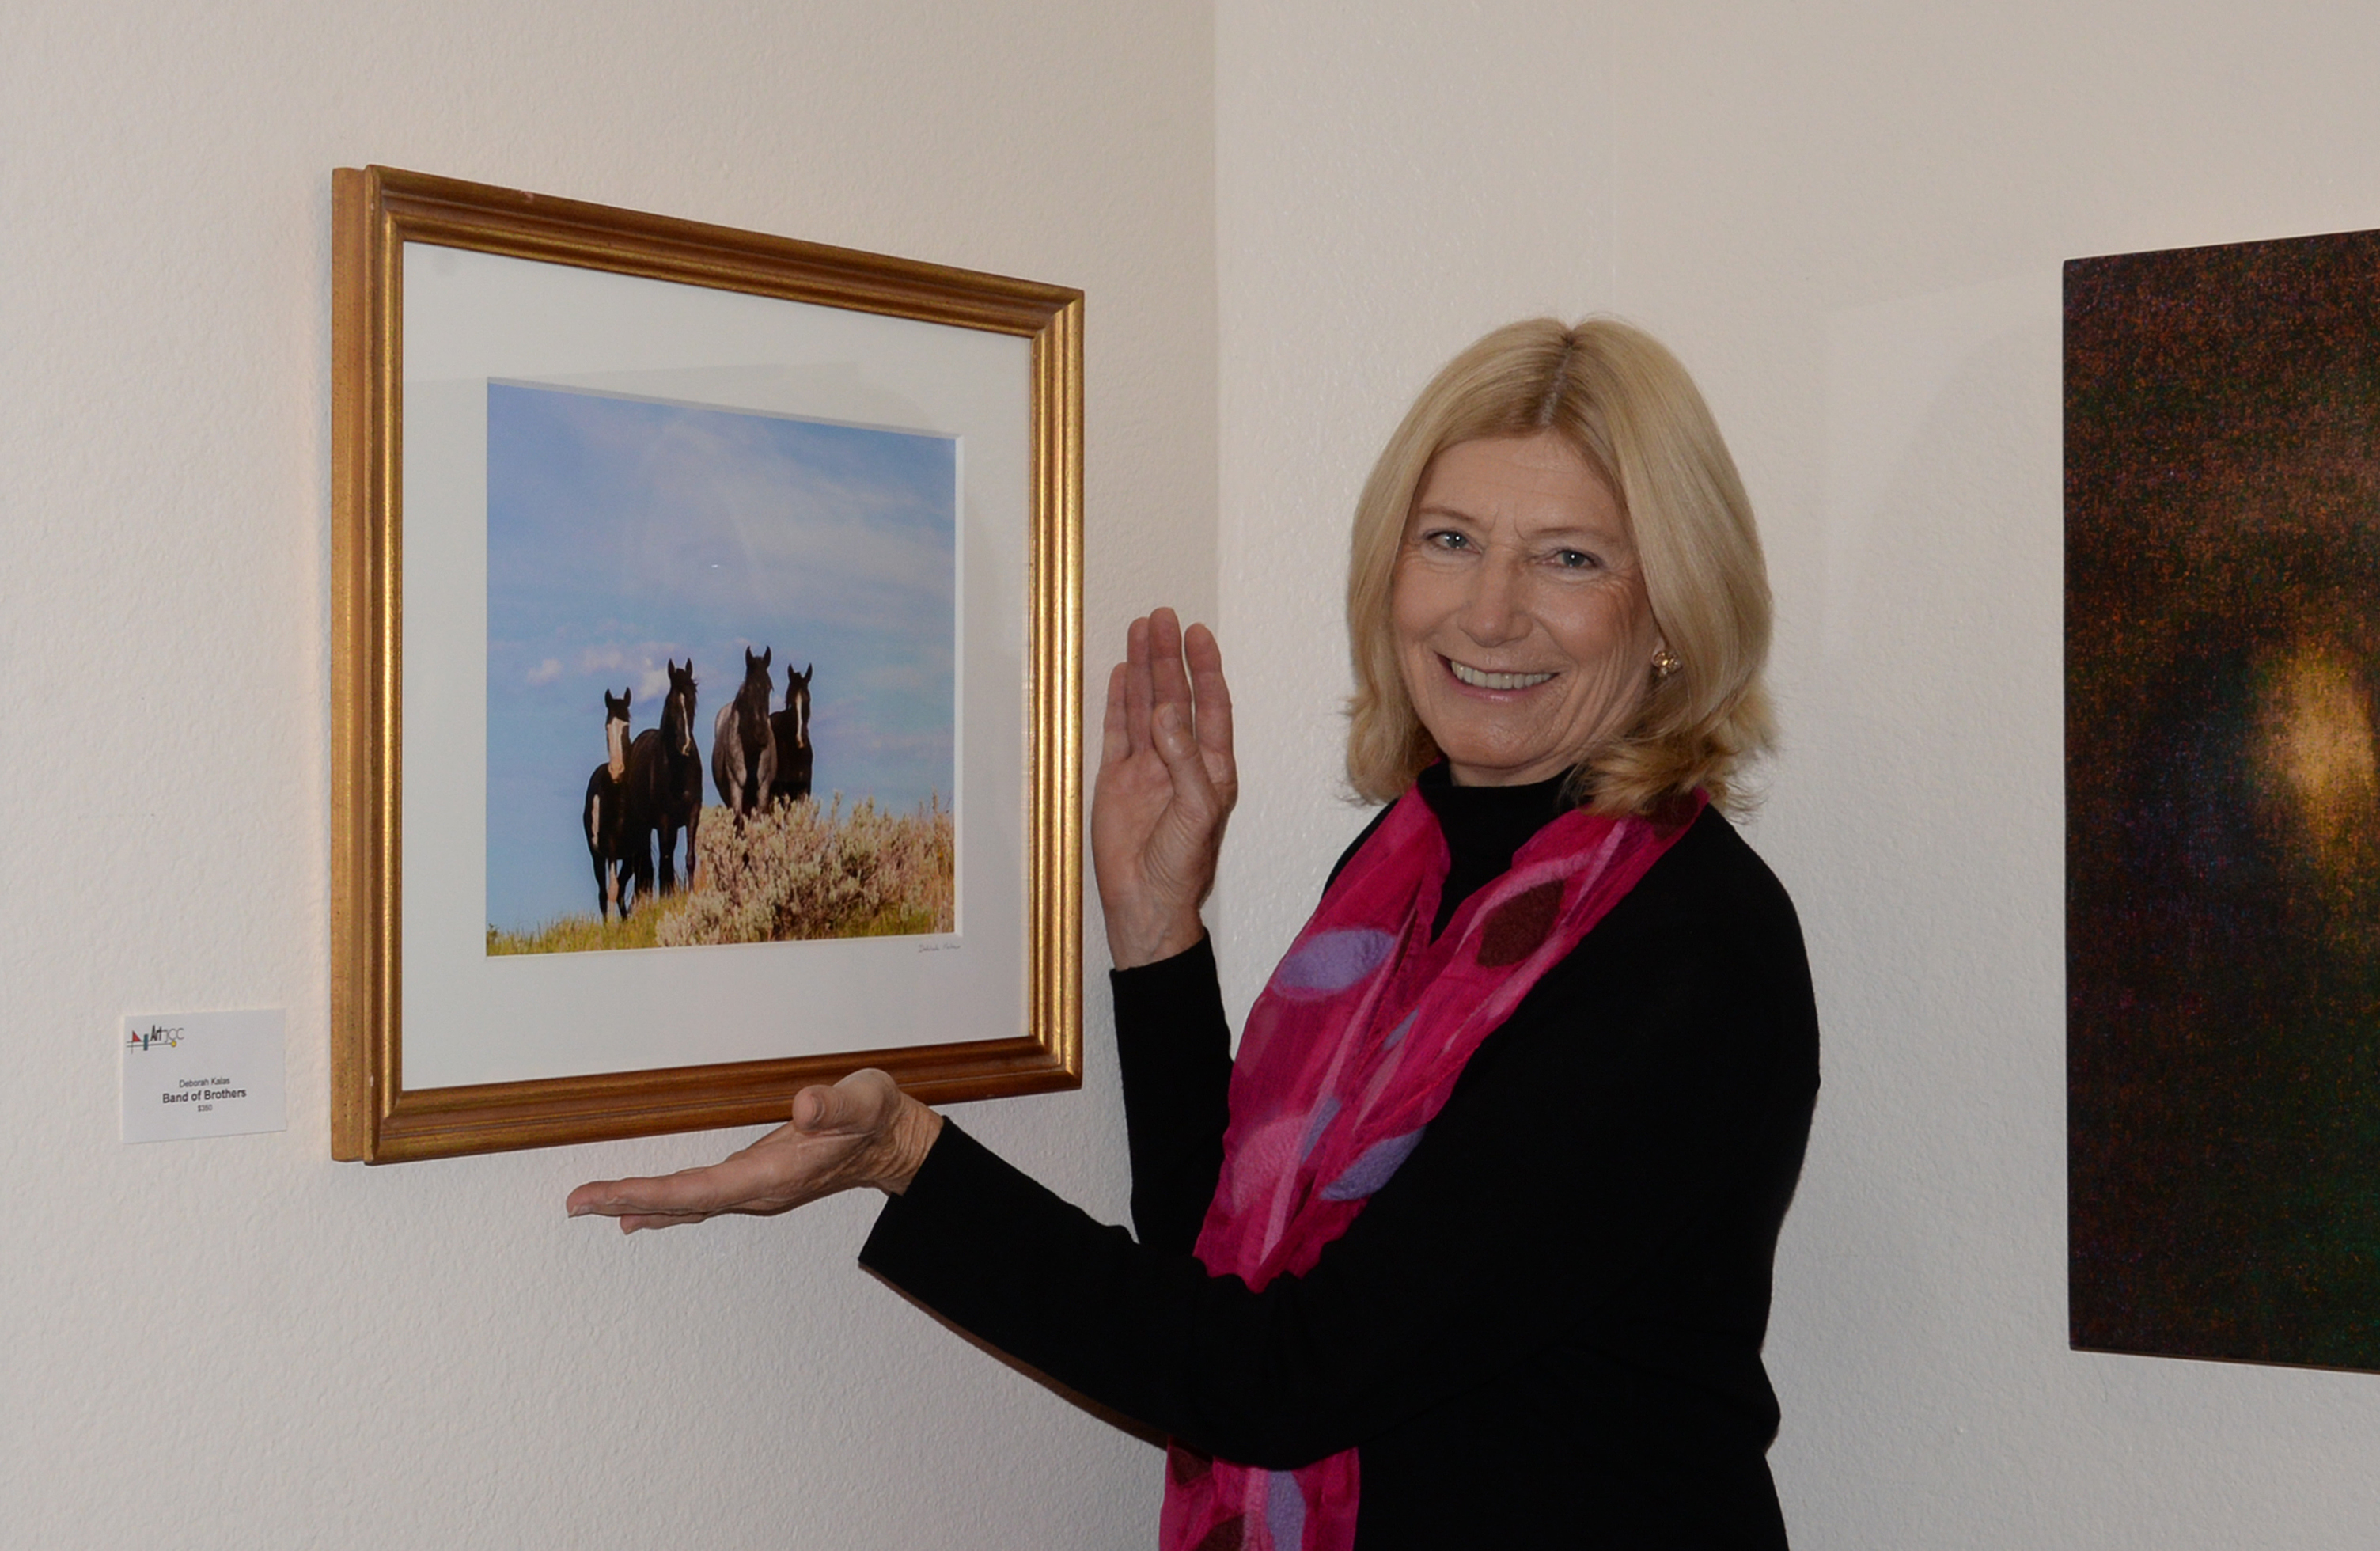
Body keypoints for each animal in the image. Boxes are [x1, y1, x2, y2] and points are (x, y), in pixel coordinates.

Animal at [619, 656, 699, 908]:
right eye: (672, 704)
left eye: (692, 701)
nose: (686, 746)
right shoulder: (664, 820)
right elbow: (664, 862)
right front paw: (667, 897)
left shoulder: (692, 814)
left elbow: (689, 857)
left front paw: (690, 893)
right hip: (644, 826)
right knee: (650, 863)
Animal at [704, 647, 780, 818]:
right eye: (749, 689)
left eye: (769, 688)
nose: (762, 735)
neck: (750, 750)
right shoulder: (736, 788)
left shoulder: (763, 789)